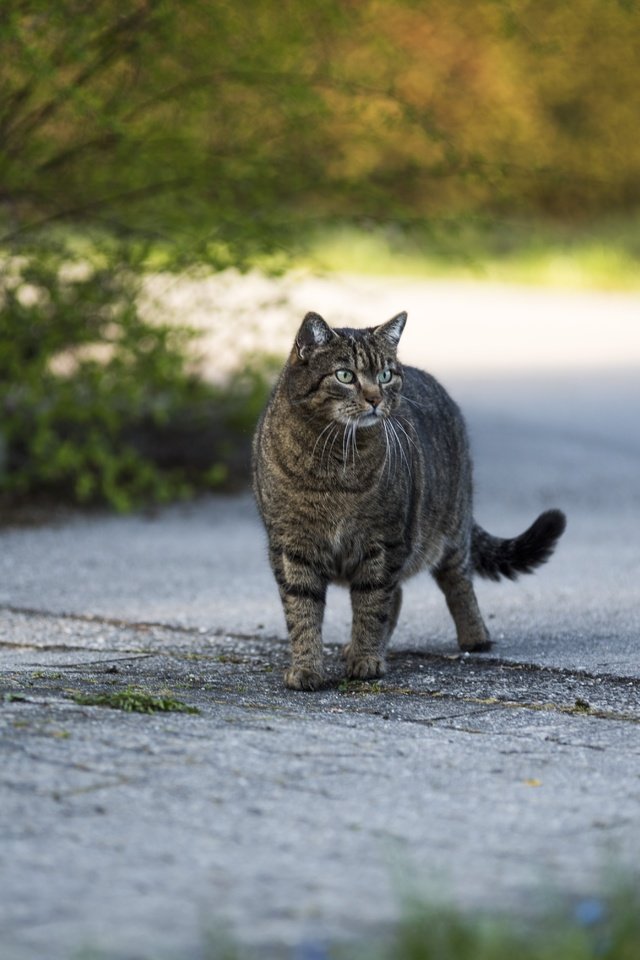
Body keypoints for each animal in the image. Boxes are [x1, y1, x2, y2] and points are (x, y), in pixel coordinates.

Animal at [252, 314, 568, 688]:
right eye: (345, 375)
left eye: (385, 375)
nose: (375, 398)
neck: (335, 461)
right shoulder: (292, 548)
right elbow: (302, 611)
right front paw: (307, 669)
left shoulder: (383, 542)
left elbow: (372, 604)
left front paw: (366, 660)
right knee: (399, 594)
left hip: (451, 530)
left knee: (457, 583)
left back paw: (474, 637)